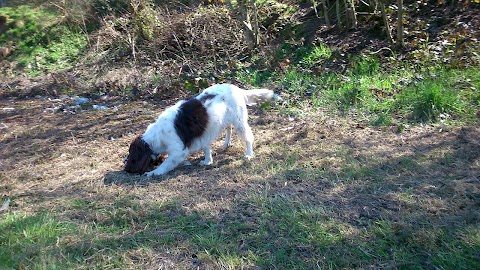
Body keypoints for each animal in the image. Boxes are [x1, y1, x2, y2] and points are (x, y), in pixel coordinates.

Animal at [124, 84, 278, 177]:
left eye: (131, 154)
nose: (125, 164)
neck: (157, 136)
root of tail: (236, 88)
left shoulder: (179, 151)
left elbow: (165, 165)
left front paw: (153, 173)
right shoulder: (203, 135)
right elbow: (206, 148)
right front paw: (207, 161)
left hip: (239, 122)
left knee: (248, 138)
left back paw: (248, 154)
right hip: (226, 119)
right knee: (228, 128)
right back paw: (226, 144)